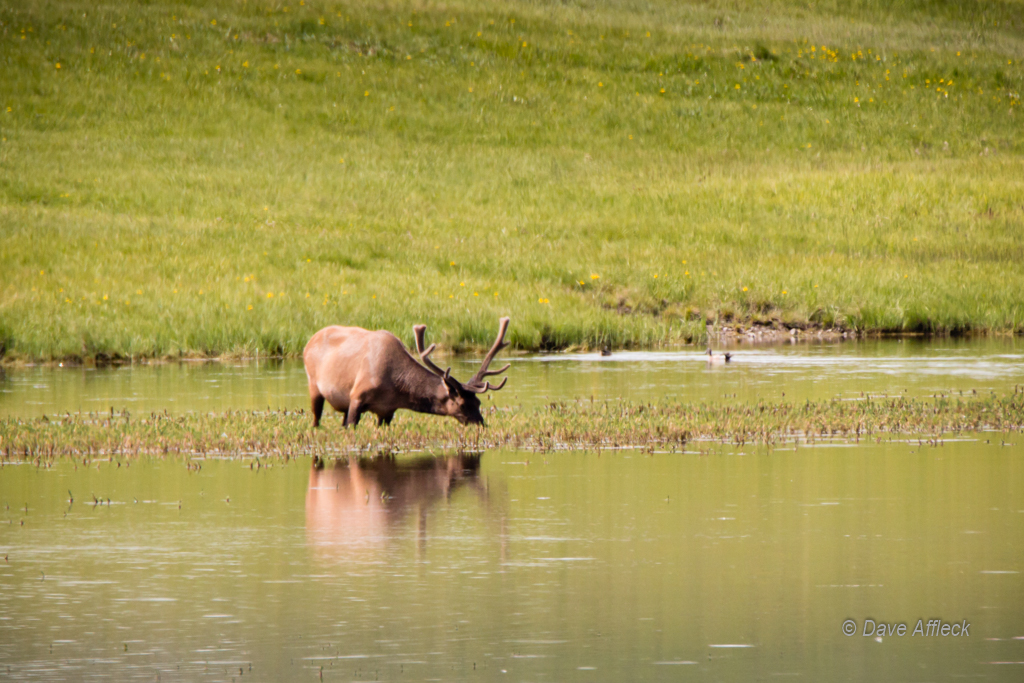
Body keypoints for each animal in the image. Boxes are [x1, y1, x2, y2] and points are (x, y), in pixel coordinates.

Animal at [303, 317, 512, 428]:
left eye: (478, 402)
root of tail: (309, 341)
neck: (395, 389)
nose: (481, 424)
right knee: (316, 417)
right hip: (313, 384)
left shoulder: (387, 411)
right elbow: (352, 424)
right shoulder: (356, 396)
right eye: (461, 404)